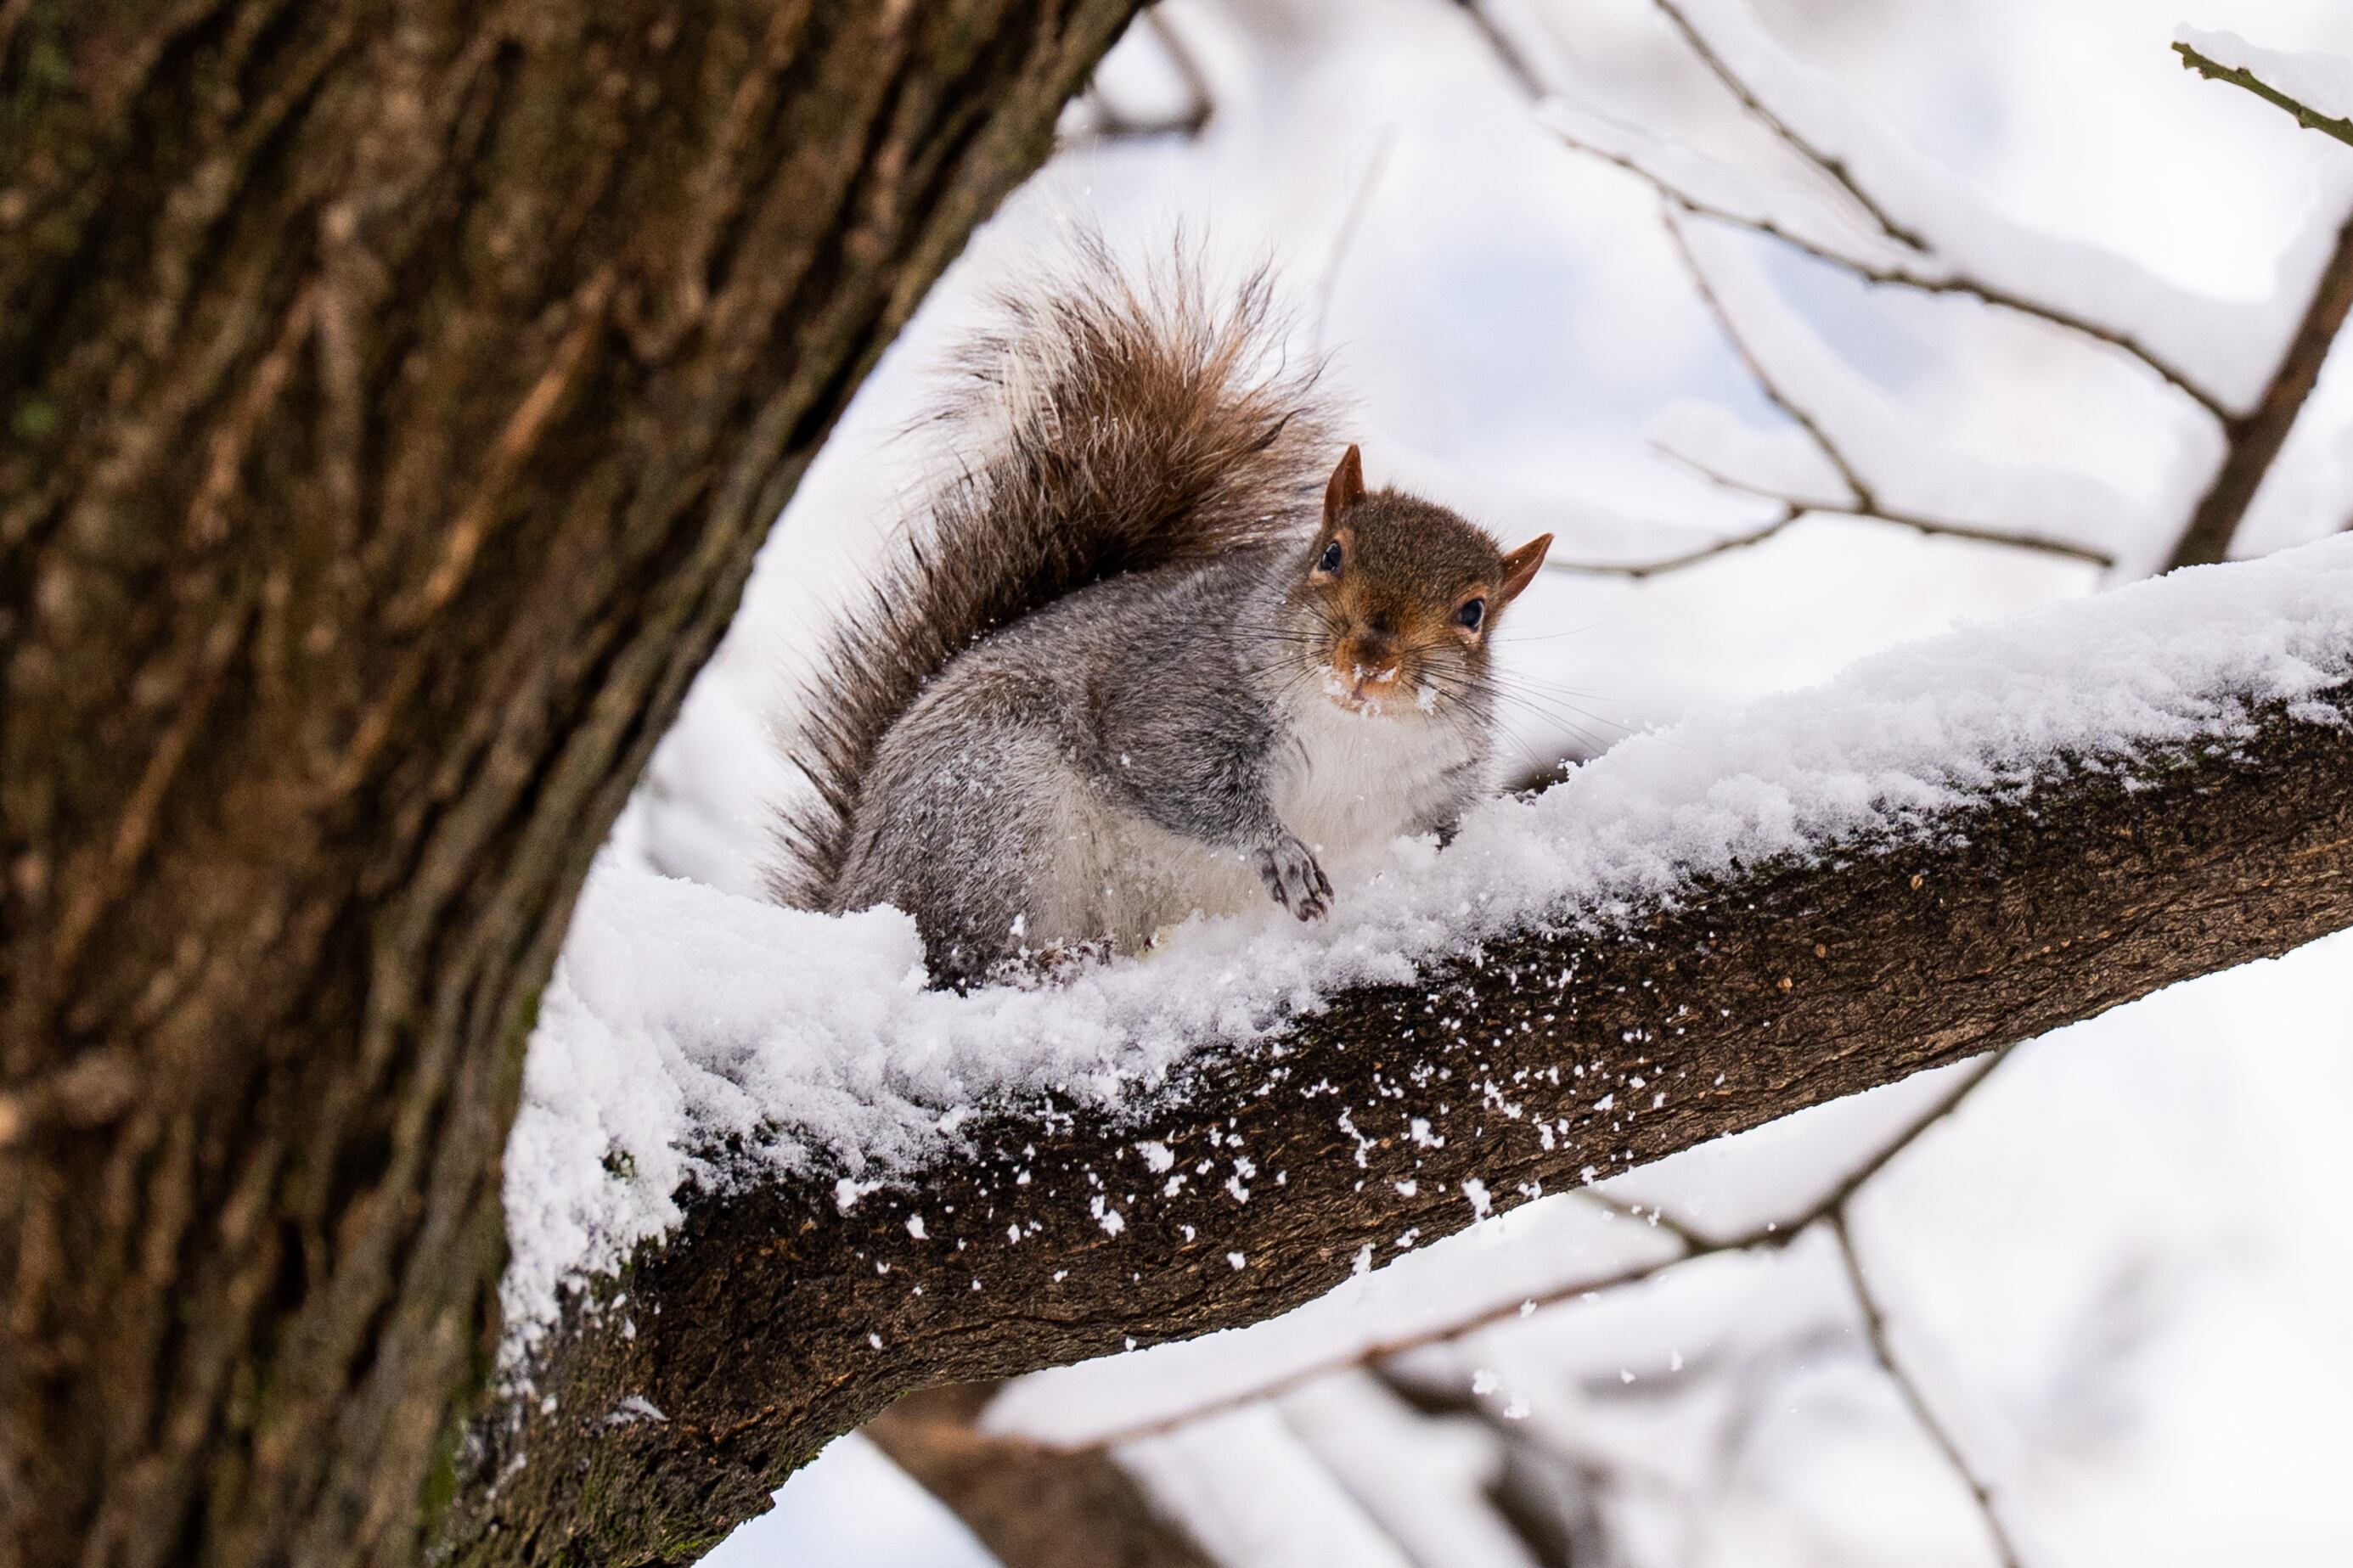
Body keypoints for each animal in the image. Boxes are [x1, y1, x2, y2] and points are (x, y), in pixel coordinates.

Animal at [772, 250, 1551, 989]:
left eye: (1474, 613)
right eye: (1330, 554)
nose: (1371, 659)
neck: (1351, 730)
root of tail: (854, 892)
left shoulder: (1435, 793)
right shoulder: (1174, 694)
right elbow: (1177, 775)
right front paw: (1278, 849)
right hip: (991, 812)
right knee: (963, 954)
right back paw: (1051, 963)